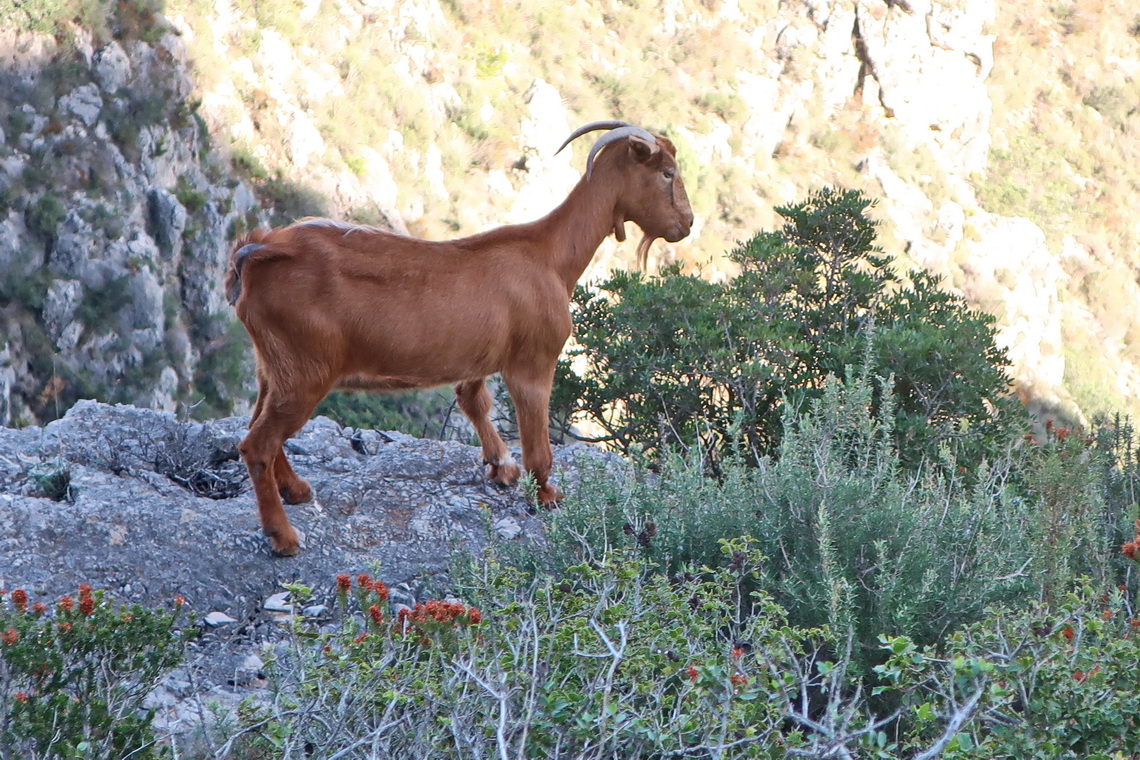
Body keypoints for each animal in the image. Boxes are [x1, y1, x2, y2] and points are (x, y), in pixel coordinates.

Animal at [224, 123, 693, 553]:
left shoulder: (480, 359)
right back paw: (283, 536)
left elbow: (473, 400)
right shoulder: (533, 361)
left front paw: (502, 468)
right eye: (667, 172)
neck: (550, 255)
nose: (686, 224)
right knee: (258, 444)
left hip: (275, 367)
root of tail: (258, 251)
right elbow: (537, 444)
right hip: (307, 371)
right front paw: (546, 495)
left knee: (259, 424)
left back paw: (296, 489)